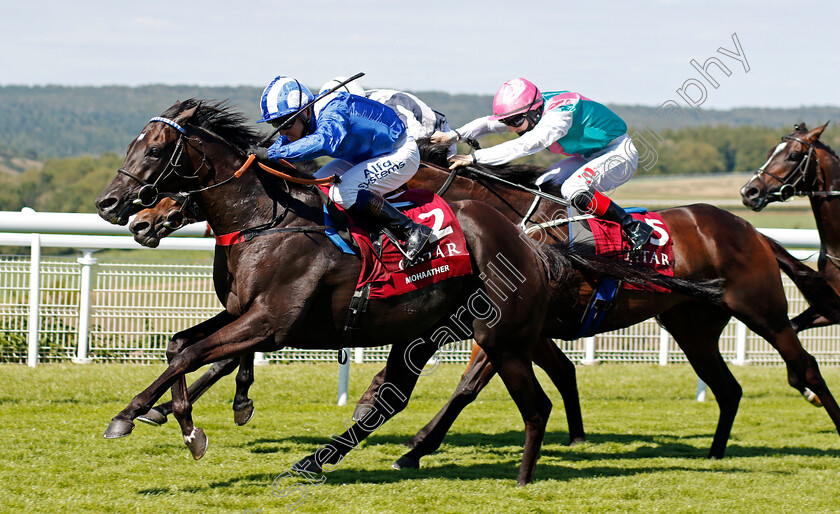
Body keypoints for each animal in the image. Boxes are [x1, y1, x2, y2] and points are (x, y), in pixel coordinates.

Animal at [93, 99, 708, 480]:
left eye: (154, 151)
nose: (117, 208)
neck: (267, 219)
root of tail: (529, 239)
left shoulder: (271, 321)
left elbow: (196, 354)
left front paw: (143, 416)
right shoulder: (244, 314)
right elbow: (182, 347)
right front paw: (174, 415)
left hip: (486, 328)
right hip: (429, 329)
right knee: (393, 396)